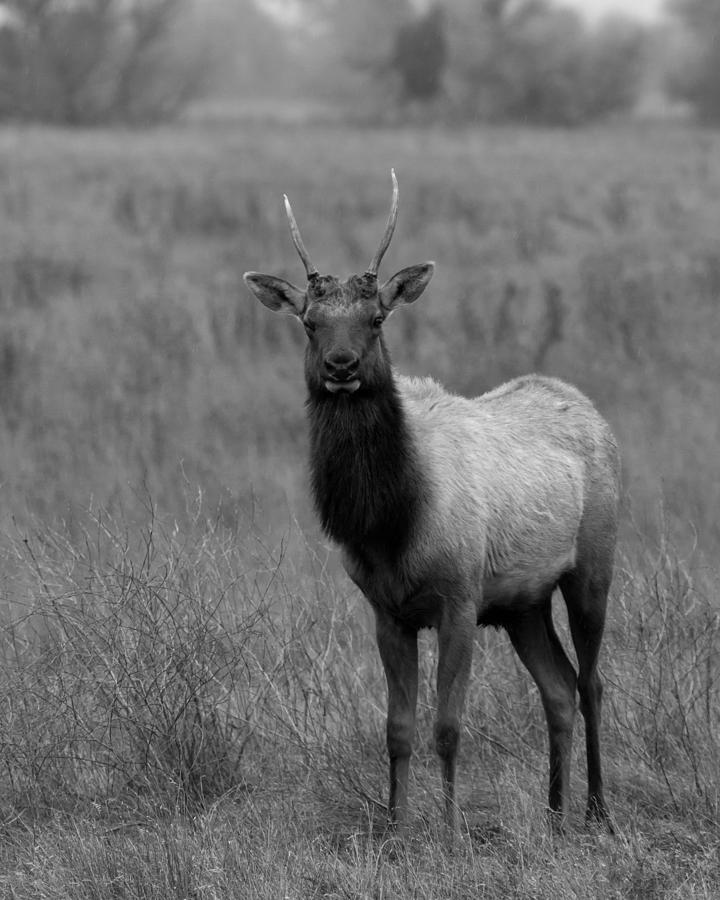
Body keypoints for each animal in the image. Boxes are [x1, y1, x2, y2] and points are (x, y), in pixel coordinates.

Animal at [245, 171, 620, 836]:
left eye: (376, 318)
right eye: (310, 322)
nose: (341, 365)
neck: (391, 524)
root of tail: (588, 407)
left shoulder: (460, 597)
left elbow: (447, 727)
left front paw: (448, 832)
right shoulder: (386, 610)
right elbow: (397, 729)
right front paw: (396, 829)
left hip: (592, 569)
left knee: (593, 682)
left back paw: (596, 810)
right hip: (524, 604)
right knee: (559, 689)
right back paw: (553, 814)